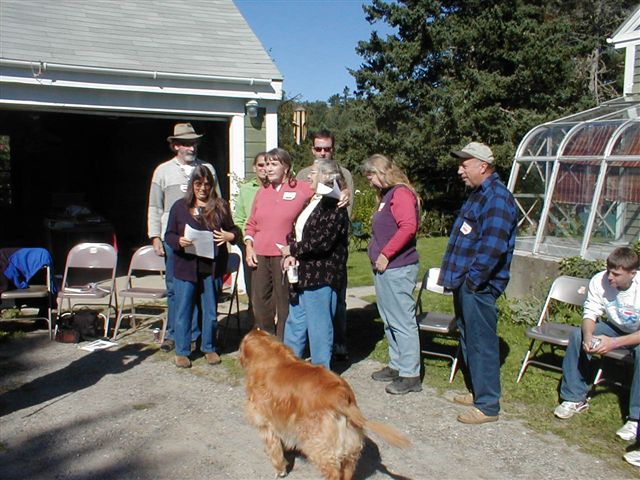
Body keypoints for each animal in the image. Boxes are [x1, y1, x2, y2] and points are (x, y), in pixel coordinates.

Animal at [239, 328, 410, 480]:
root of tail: (341, 397)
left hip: (319, 445)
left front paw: (280, 469)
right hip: (350, 447)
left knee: (333, 472)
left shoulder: (266, 423)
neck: (269, 355)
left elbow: (275, 450)